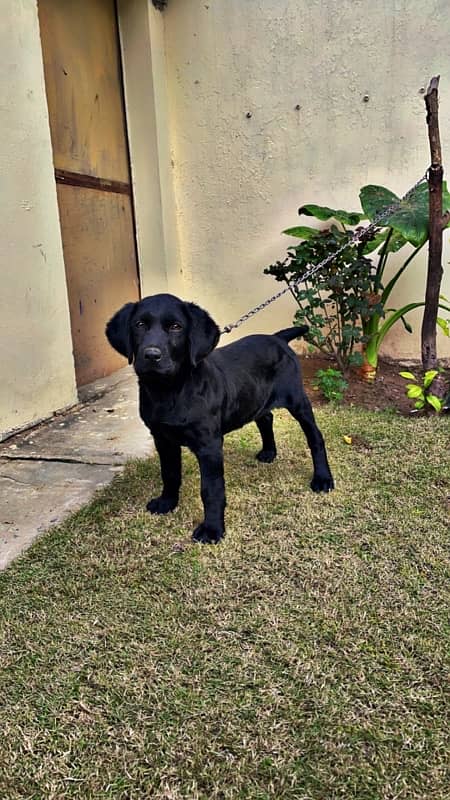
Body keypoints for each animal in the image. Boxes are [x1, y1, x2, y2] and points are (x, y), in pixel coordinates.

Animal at [105, 294, 332, 544]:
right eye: (139, 324)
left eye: (176, 327)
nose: (152, 355)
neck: (170, 390)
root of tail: (277, 338)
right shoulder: (162, 439)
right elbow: (170, 473)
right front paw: (167, 503)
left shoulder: (209, 445)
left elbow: (211, 489)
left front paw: (212, 529)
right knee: (266, 418)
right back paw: (268, 452)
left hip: (297, 400)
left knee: (315, 437)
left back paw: (323, 479)